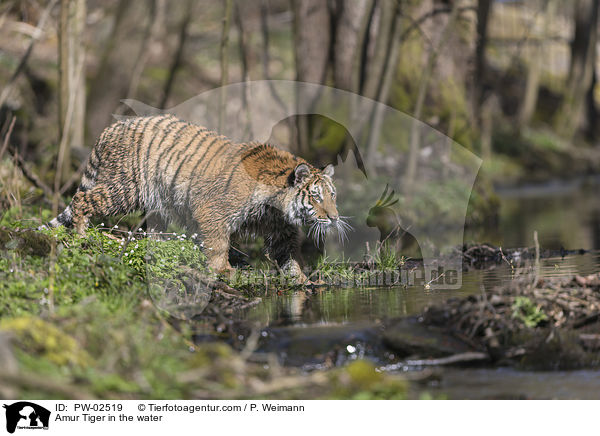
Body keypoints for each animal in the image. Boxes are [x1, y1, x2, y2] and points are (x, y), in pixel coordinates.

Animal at [45, 114, 352, 282]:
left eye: (333, 196)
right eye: (316, 197)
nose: (335, 217)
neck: (276, 204)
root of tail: (110, 128)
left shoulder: (279, 229)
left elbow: (288, 255)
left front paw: (302, 279)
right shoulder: (213, 211)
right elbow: (218, 244)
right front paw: (224, 271)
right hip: (124, 188)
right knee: (82, 201)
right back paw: (81, 236)